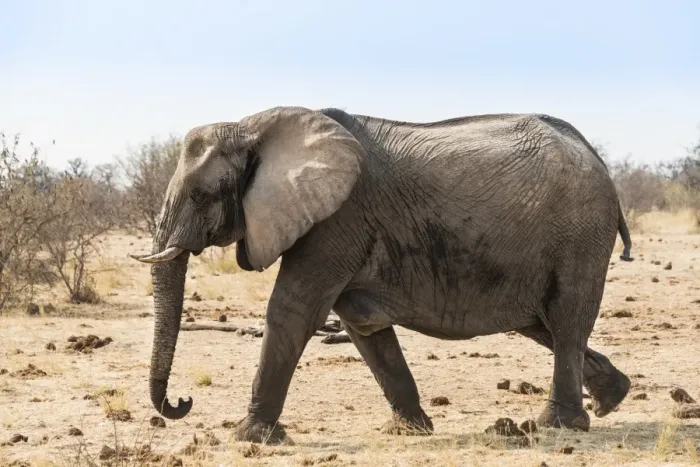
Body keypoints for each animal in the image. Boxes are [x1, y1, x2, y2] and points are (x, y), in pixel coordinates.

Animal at [131, 106, 634, 444]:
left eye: (201, 195)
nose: (181, 404)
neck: (253, 125)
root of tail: (595, 157)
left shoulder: (337, 219)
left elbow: (292, 311)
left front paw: (249, 437)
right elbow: (363, 327)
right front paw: (411, 430)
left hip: (581, 233)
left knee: (565, 320)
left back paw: (558, 425)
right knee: (543, 322)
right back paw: (611, 398)